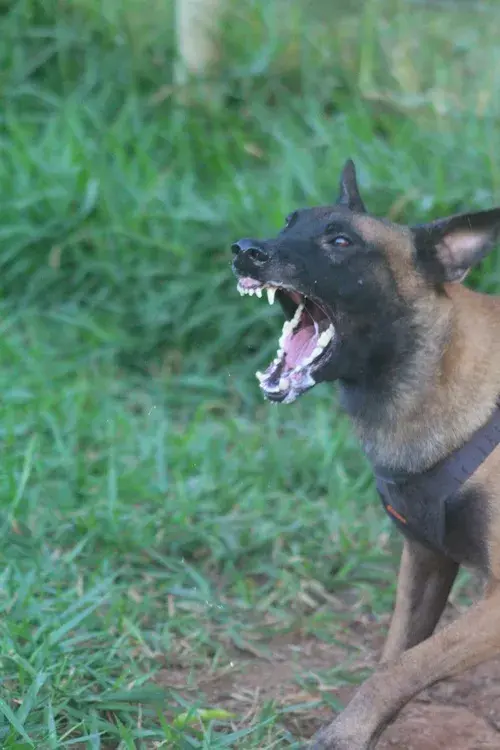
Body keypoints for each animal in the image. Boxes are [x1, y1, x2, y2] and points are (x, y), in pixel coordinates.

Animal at [231, 160, 500, 750]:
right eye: (289, 222)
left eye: (340, 241)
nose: (245, 250)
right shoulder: (424, 559)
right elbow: (394, 659)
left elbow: (401, 669)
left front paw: (343, 733)